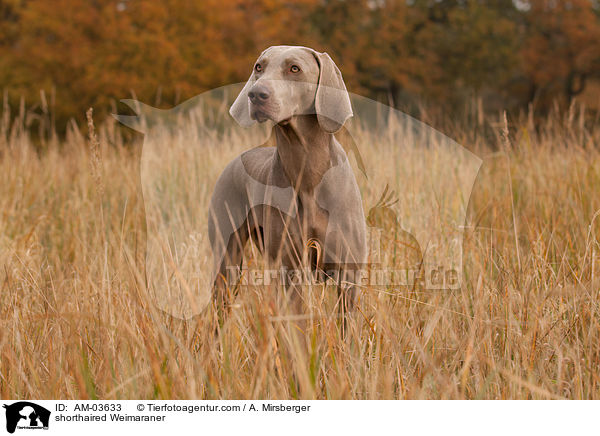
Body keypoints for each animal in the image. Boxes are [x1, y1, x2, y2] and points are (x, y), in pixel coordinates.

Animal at [207, 44, 366, 316]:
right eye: (259, 67)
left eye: (294, 69)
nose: (256, 94)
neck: (307, 169)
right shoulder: (289, 269)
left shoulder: (349, 273)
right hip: (227, 259)